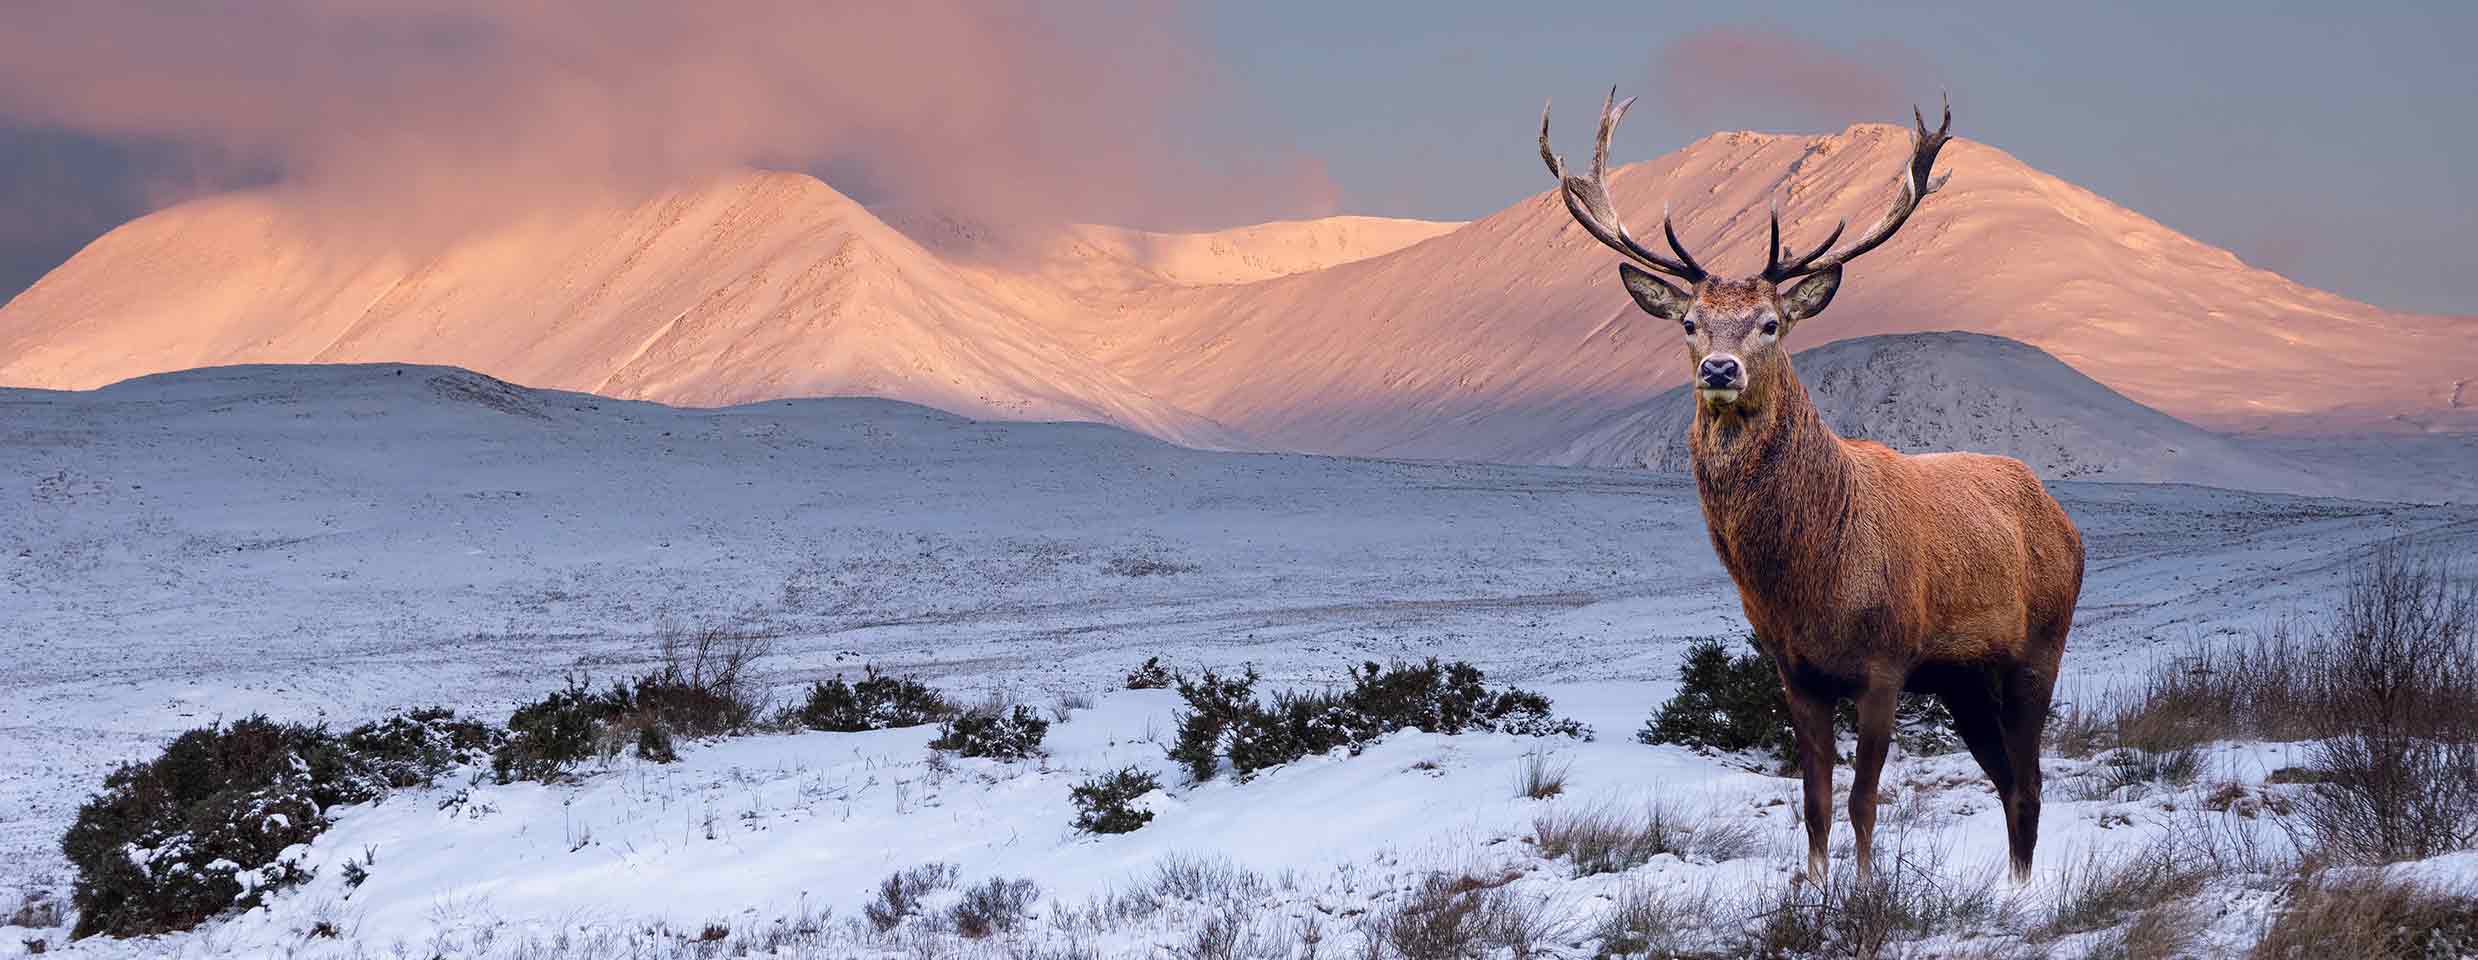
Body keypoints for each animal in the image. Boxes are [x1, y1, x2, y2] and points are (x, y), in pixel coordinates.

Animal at [1539, 91, 2084, 883]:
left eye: (1771, 322)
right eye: (1691, 323)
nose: (1721, 369)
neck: (1811, 577)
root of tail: (2063, 519)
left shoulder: (1887, 661)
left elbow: (1864, 801)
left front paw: (1863, 891)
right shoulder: (1794, 669)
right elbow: (1816, 802)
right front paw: (1818, 887)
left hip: (2041, 643)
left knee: (2031, 778)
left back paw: (2023, 892)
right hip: (1961, 677)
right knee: (2008, 779)